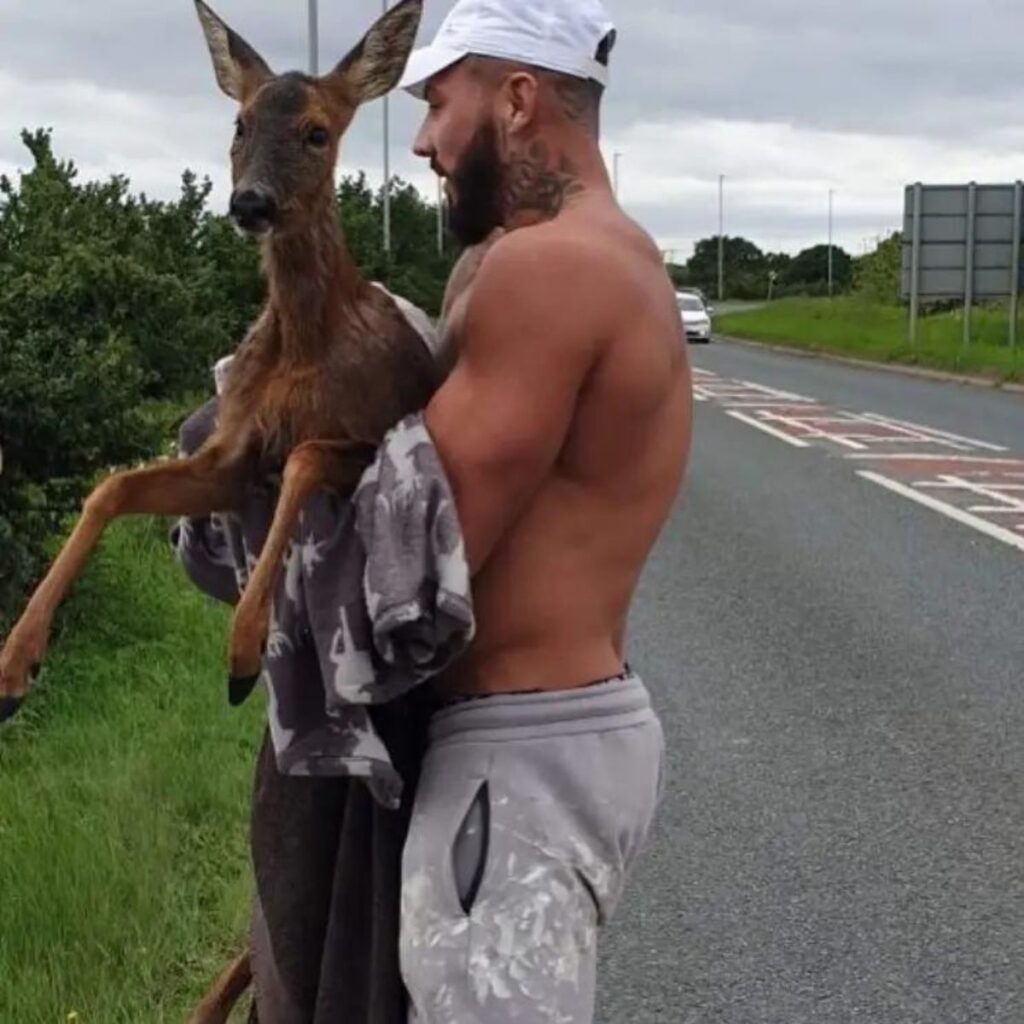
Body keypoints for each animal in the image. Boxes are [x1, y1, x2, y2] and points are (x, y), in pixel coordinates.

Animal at [0, 0, 436, 720]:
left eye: (317, 132)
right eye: (240, 123)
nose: (251, 202)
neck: (302, 345)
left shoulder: (368, 427)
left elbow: (304, 456)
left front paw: (243, 652)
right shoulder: (232, 452)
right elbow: (111, 488)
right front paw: (15, 663)